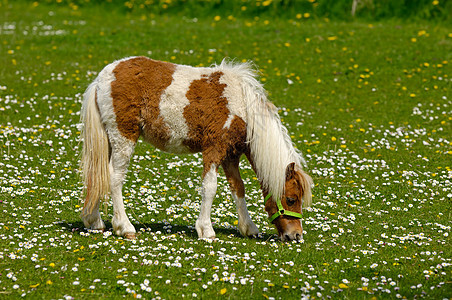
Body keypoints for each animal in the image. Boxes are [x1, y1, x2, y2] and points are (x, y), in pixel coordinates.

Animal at [79, 56, 312, 241]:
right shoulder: (214, 149)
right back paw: (124, 227)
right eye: (291, 199)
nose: (296, 235)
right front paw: (206, 230)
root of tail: (101, 80)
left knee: (98, 174)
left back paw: (94, 221)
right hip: (124, 137)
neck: (241, 106)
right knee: (114, 177)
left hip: (110, 140)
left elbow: (238, 188)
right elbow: (210, 187)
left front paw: (248, 228)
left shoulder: (231, 155)